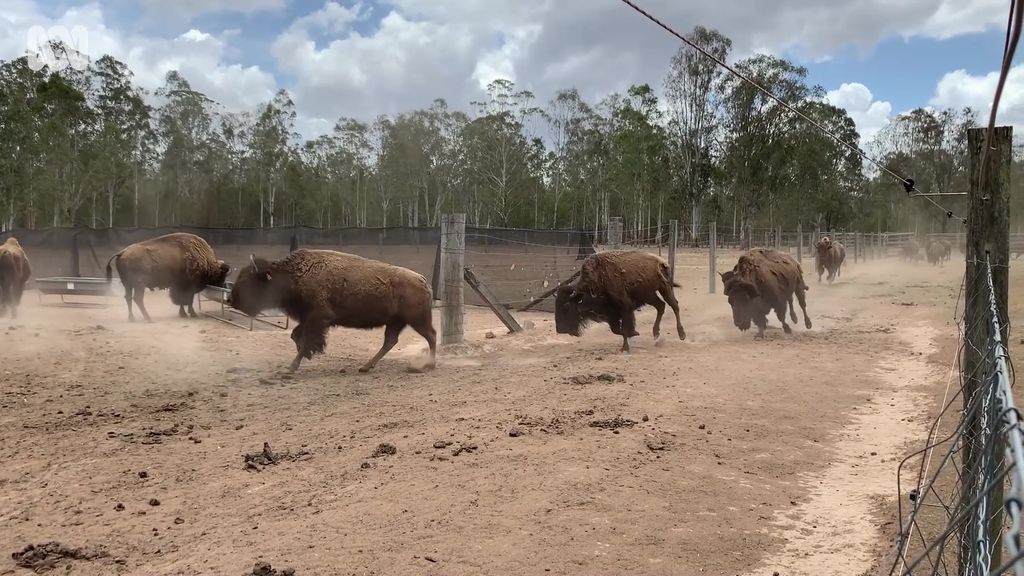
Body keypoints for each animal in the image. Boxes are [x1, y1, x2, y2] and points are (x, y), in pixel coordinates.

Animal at [228, 247, 436, 373]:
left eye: (247, 280)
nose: (230, 299)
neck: (295, 274)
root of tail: (423, 280)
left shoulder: (319, 318)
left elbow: (307, 339)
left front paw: (292, 366)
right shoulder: (308, 318)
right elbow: (296, 335)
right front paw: (305, 356)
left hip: (417, 320)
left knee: (431, 335)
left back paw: (429, 364)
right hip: (395, 322)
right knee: (390, 341)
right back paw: (365, 367)